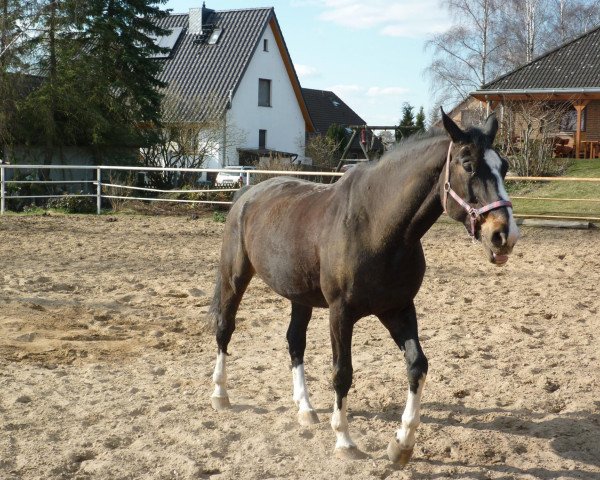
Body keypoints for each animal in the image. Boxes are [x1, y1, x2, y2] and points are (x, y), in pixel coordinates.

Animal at [209, 110, 516, 464]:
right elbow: (342, 373)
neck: (377, 228)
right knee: (225, 329)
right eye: (467, 164)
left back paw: (305, 409)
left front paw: (401, 444)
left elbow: (417, 366)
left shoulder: (398, 308)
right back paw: (220, 395)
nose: (504, 235)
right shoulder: (340, 314)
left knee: (295, 343)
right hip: (234, 277)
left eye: (504, 166)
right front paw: (345, 440)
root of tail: (247, 194)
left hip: (300, 297)